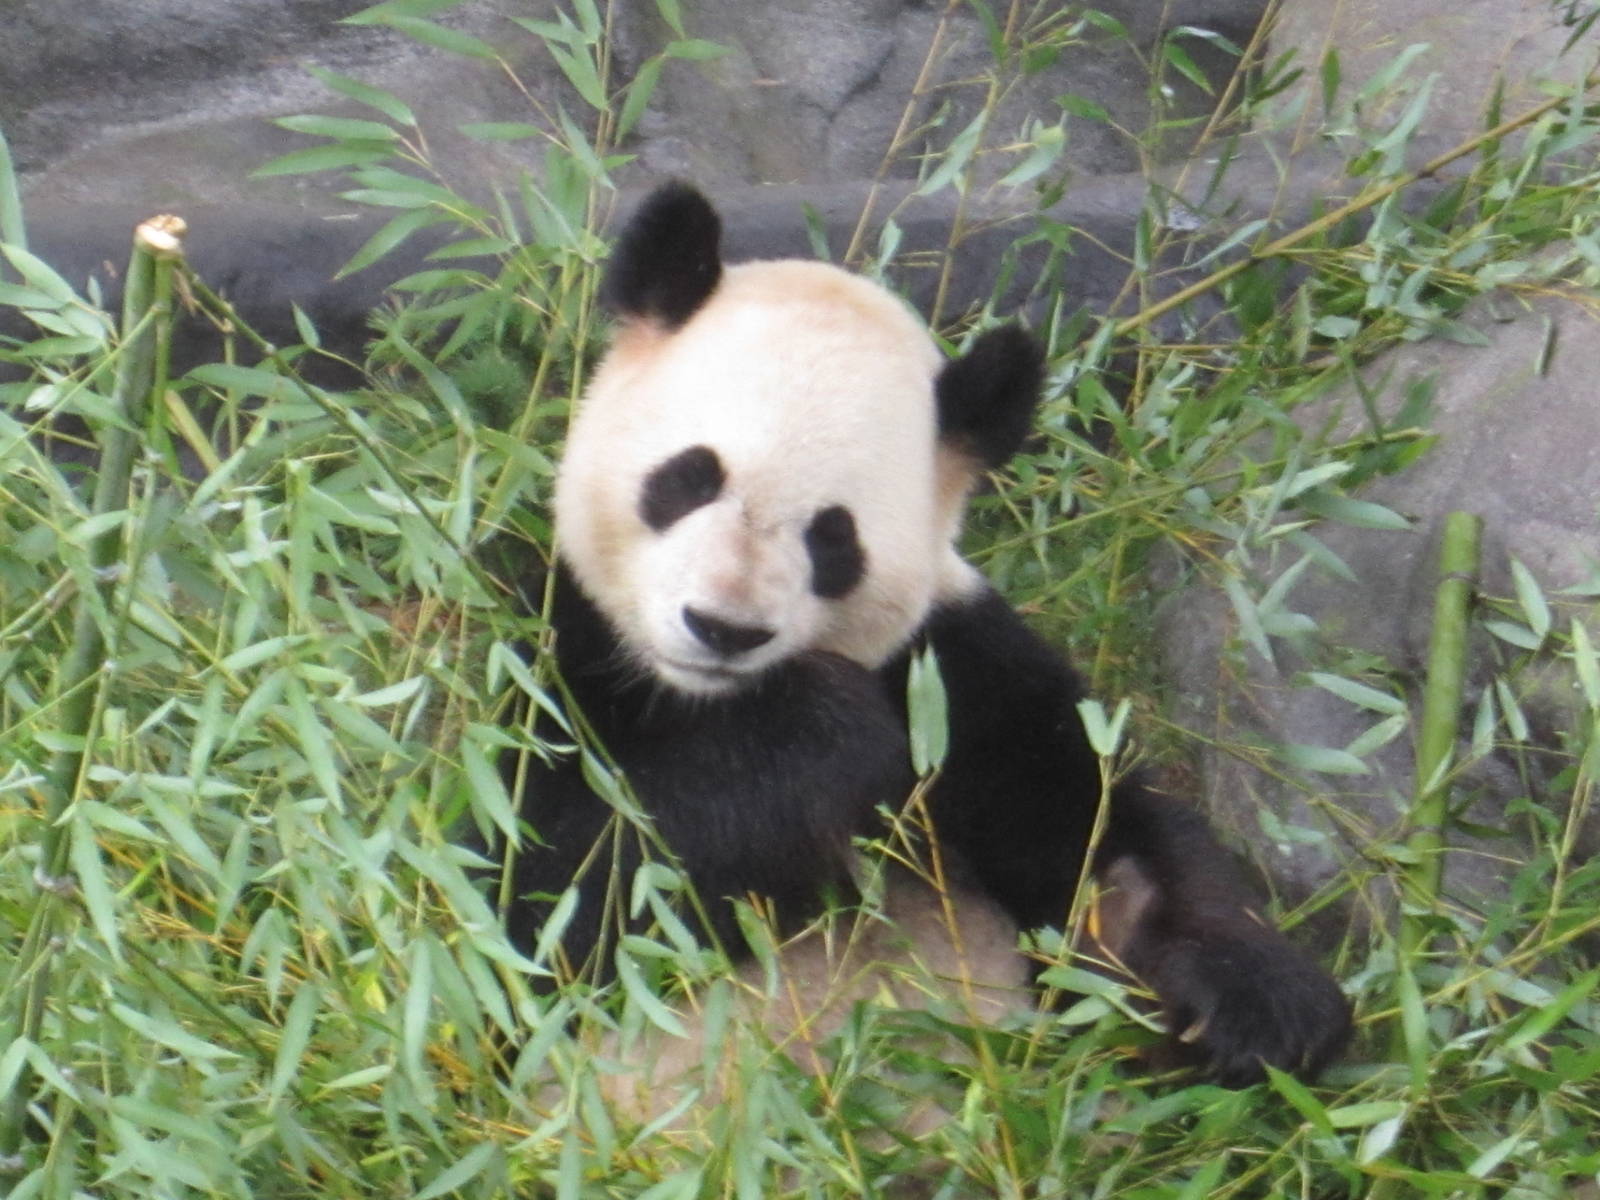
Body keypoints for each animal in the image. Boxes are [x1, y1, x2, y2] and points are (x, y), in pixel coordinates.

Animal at [498, 181, 1351, 1100]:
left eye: (833, 537)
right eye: (687, 479)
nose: (724, 628)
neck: (706, 701)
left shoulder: (961, 681)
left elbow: (1103, 847)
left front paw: (1256, 1005)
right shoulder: (547, 652)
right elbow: (558, 894)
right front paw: (821, 728)